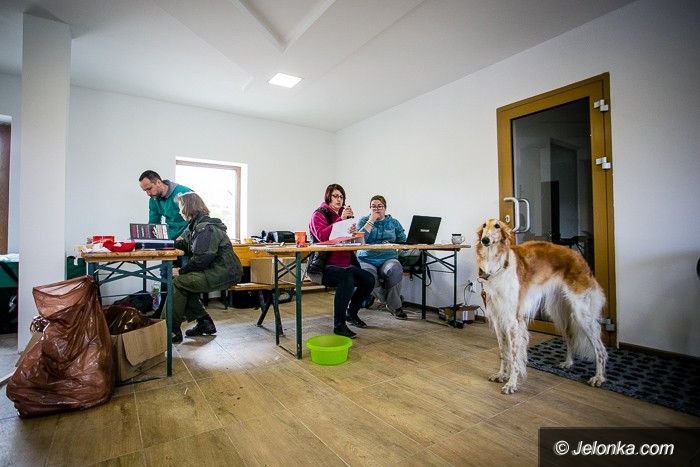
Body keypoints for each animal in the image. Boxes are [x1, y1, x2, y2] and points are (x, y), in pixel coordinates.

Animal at [476, 219, 607, 394]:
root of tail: (578, 256)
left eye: (497, 226)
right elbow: (504, 351)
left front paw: (511, 384)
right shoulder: (498, 318)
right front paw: (501, 375)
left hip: (581, 314)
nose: (485, 240)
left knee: (600, 349)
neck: (498, 265)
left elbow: (515, 355)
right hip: (558, 311)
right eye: (484, 226)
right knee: (570, 336)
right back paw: (568, 363)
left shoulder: (513, 320)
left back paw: (598, 377)